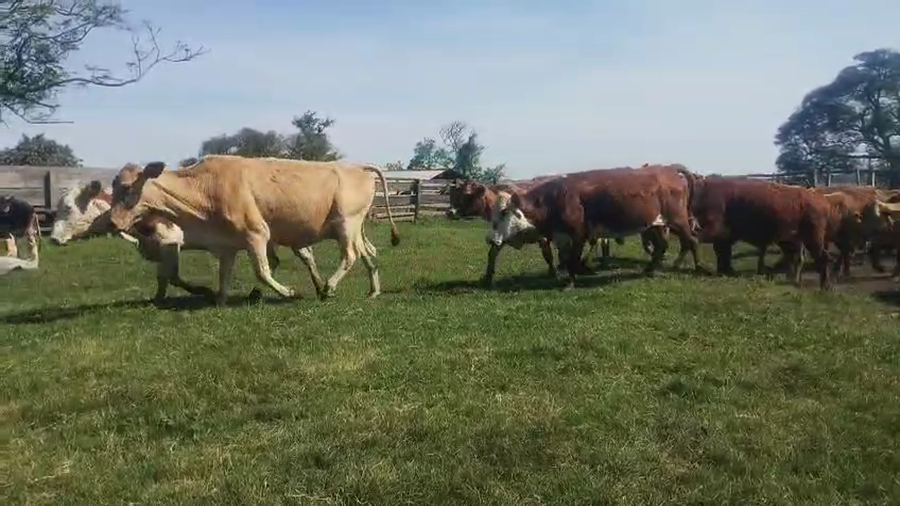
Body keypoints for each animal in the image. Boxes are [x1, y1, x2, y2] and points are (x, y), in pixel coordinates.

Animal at [108, 155, 402, 306]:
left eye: (128, 189)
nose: (111, 222)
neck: (205, 187)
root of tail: (356, 166)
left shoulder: (257, 234)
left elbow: (263, 271)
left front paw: (289, 292)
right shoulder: (226, 245)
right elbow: (224, 277)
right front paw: (219, 300)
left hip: (346, 223)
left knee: (350, 255)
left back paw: (328, 287)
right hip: (354, 227)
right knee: (368, 253)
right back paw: (373, 291)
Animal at [489, 164, 704, 289]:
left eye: (504, 212)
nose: (489, 239)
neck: (555, 198)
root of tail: (668, 170)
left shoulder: (578, 234)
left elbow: (573, 259)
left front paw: (570, 282)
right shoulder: (562, 236)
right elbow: (565, 258)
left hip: (677, 220)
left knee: (691, 241)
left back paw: (698, 268)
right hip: (655, 224)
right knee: (661, 246)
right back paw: (650, 270)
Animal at [688, 176, 839, 290]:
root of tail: (822, 200)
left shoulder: (715, 231)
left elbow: (715, 249)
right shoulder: (724, 237)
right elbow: (722, 253)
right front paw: (724, 271)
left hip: (812, 240)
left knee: (823, 258)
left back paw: (825, 286)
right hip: (792, 241)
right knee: (798, 258)